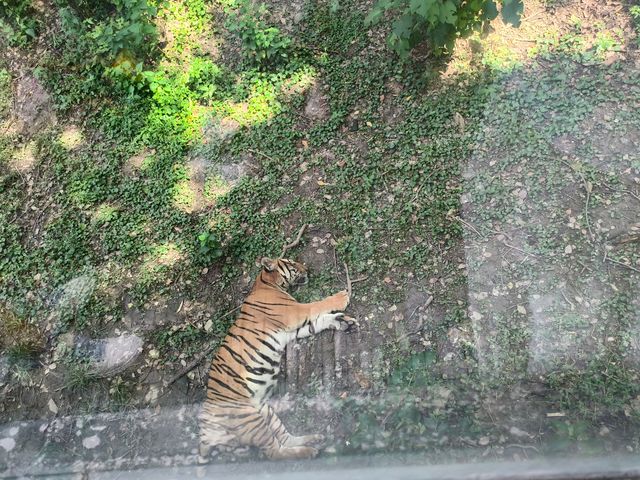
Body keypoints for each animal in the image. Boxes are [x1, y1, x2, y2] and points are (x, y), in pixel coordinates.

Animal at [199, 256, 356, 460]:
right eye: (292, 264)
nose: (307, 268)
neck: (267, 283)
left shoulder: (294, 329)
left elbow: (318, 321)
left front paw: (342, 322)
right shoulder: (295, 313)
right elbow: (316, 305)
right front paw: (342, 297)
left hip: (265, 411)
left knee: (284, 438)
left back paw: (313, 440)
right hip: (251, 419)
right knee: (273, 452)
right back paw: (309, 451)